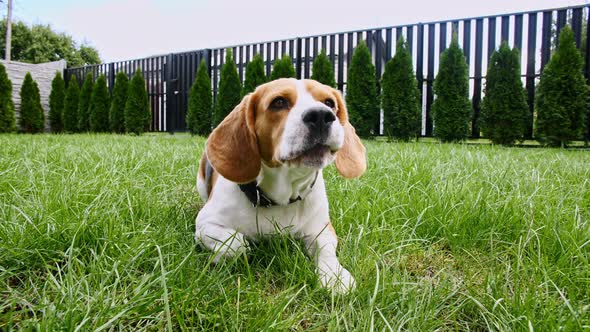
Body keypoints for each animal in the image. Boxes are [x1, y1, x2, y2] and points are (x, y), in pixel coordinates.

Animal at [197, 78, 368, 294]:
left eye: (329, 103)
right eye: (278, 102)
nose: (321, 115)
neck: (279, 199)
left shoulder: (322, 229)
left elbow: (326, 250)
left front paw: (335, 276)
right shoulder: (204, 224)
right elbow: (236, 244)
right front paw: (221, 256)